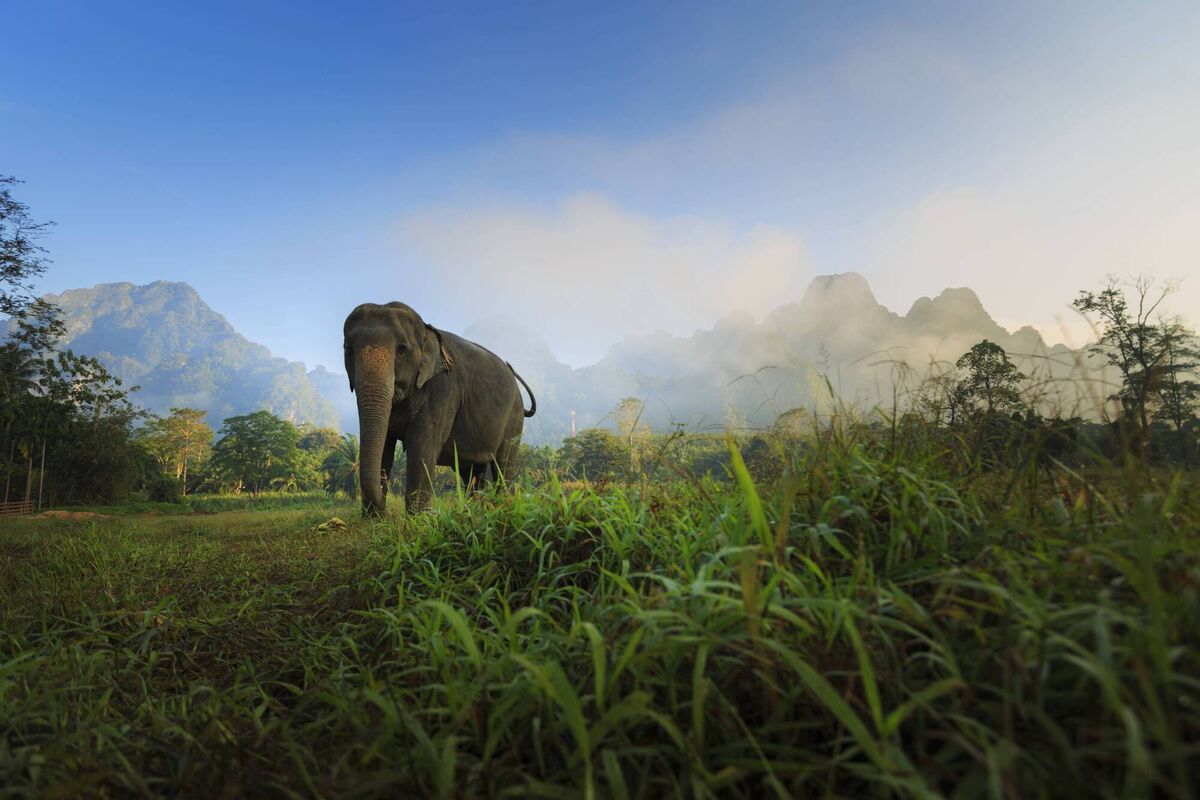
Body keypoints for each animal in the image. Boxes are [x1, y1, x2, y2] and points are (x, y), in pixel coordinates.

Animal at [343, 302, 536, 515]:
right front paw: (373, 520)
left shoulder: (443, 391)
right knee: (472, 472)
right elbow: (385, 444)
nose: (382, 510)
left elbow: (422, 447)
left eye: (401, 350)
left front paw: (417, 520)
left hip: (514, 418)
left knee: (503, 465)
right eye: (348, 349)